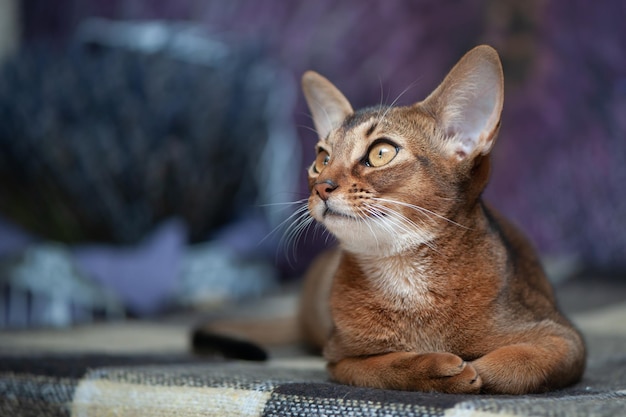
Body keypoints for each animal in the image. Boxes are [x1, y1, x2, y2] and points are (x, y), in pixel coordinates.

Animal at [294, 44, 584, 394]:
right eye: (322, 159)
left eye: (381, 153)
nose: (322, 186)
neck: (405, 274)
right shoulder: (341, 359)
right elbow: (388, 367)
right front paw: (439, 368)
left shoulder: (564, 337)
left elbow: (521, 364)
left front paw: (479, 368)